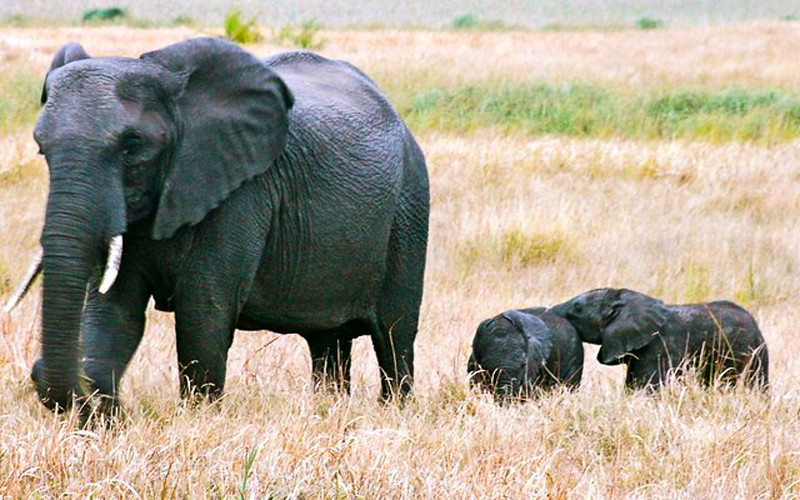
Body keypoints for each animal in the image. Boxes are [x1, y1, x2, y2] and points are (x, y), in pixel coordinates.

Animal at [15, 37, 428, 416]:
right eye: (41, 147)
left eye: (132, 145)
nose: (37, 370)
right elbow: (114, 309)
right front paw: (100, 407)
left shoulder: (240, 193)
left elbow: (204, 310)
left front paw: (198, 415)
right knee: (327, 340)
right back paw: (328, 409)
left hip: (408, 207)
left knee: (394, 334)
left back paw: (395, 409)